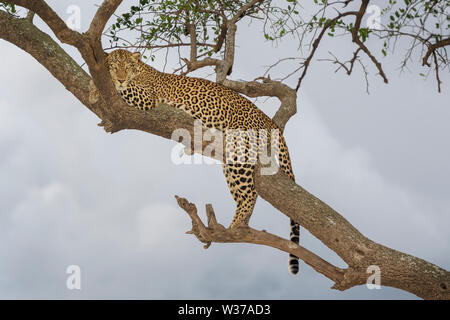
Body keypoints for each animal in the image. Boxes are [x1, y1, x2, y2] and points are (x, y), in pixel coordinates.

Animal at [88, 50, 298, 276]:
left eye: (126, 67)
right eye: (114, 66)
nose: (120, 78)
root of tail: (270, 121)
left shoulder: (147, 98)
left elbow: (124, 89)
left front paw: (102, 84)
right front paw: (94, 89)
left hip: (239, 151)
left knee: (250, 193)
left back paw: (234, 227)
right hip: (231, 161)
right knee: (243, 193)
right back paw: (232, 226)